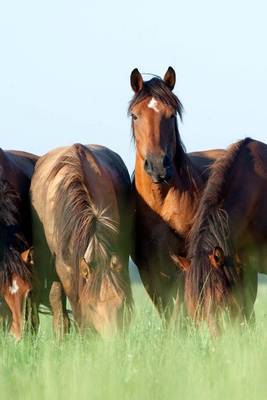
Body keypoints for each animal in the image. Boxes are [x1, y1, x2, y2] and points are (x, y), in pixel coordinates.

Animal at [129, 66, 226, 322]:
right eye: (135, 115)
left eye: (171, 115)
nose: (158, 166)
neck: (161, 202)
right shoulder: (150, 268)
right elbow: (168, 309)